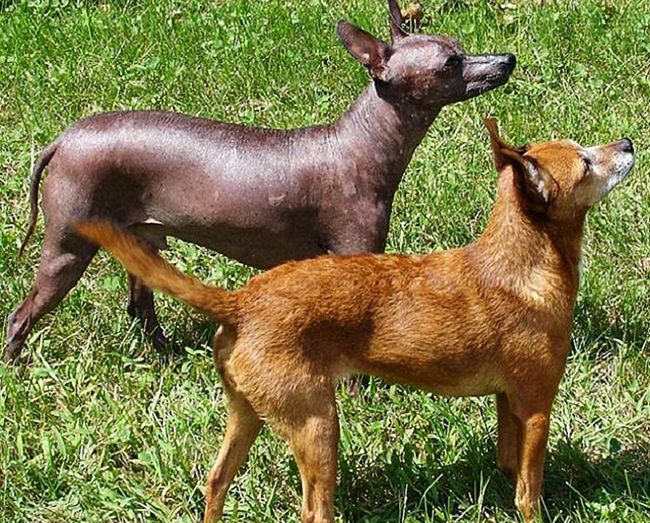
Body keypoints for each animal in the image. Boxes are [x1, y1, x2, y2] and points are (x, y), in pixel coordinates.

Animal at [3, 0, 512, 362]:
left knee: (139, 307)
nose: (506, 59)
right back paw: (17, 366)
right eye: (450, 63)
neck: (360, 142)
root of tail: (64, 138)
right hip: (67, 249)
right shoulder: (354, 254)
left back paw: (166, 353)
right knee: (19, 317)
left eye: (459, 45)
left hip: (138, 241)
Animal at [74, 121, 632, 520]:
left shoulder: (507, 402)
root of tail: (243, 301)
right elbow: (528, 492)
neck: (521, 264)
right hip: (318, 425)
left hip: (249, 414)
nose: (627, 142)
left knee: (215, 481)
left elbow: (508, 465)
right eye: (586, 163)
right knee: (313, 511)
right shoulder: (536, 407)